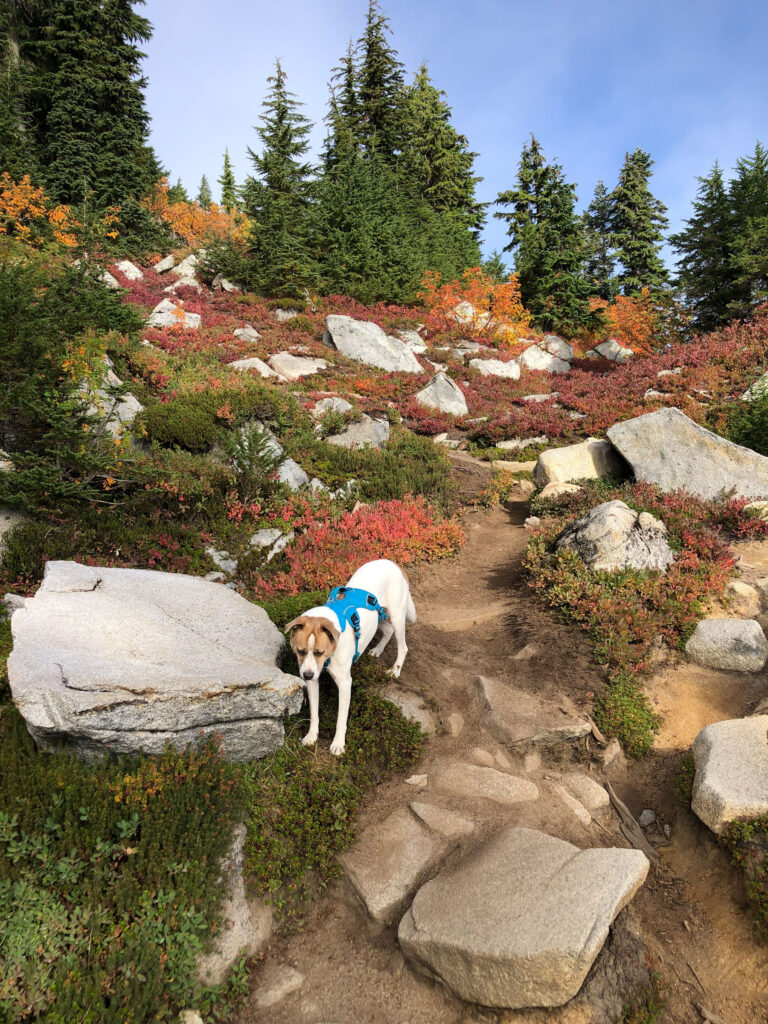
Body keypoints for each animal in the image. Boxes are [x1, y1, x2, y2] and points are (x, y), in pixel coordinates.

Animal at [284, 557, 415, 757]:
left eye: (319, 652)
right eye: (300, 651)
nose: (306, 675)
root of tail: (392, 563)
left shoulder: (345, 684)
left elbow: (341, 718)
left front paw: (338, 744)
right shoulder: (313, 681)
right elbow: (314, 713)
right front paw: (311, 736)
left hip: (397, 616)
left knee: (403, 646)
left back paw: (395, 670)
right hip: (378, 617)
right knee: (388, 630)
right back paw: (377, 650)